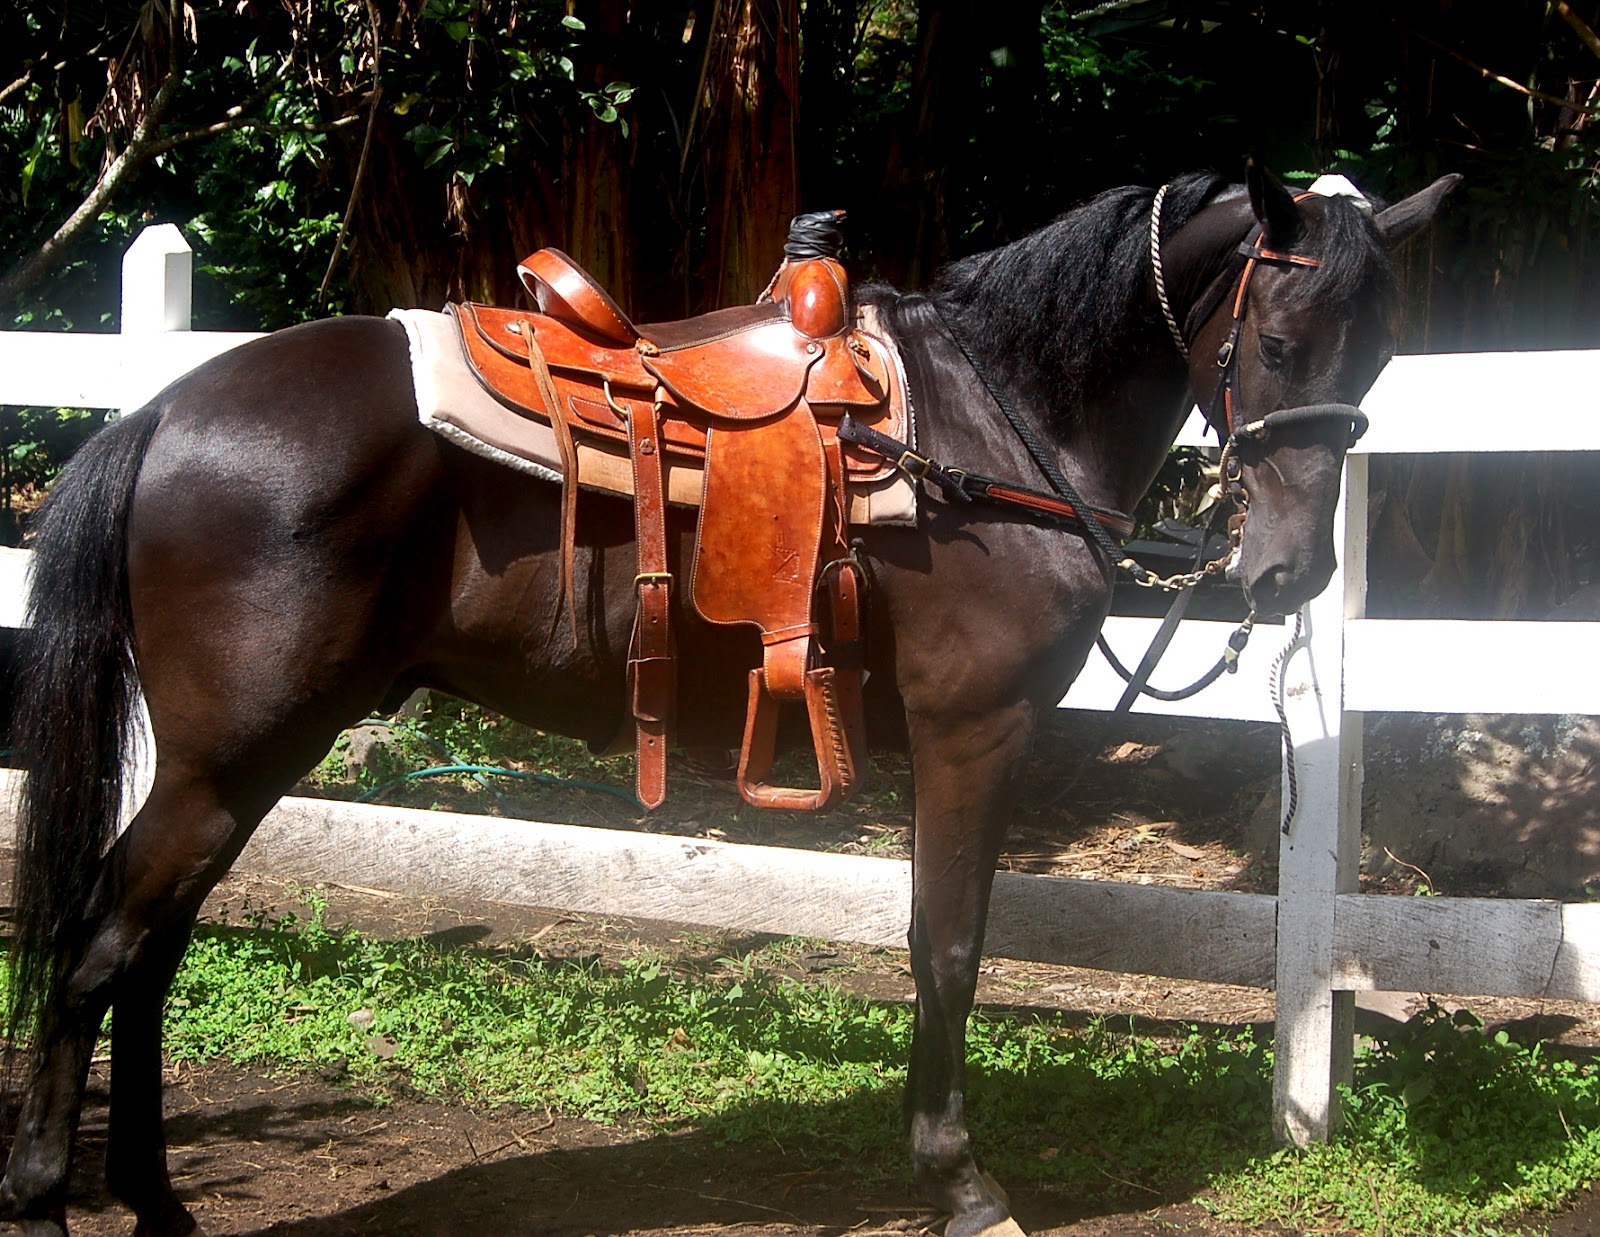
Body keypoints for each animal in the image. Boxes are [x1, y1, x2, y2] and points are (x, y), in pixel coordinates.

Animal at [0, 164, 1456, 1236]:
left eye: (1386, 354)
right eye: (1278, 340)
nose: (1291, 571)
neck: (991, 429)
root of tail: (162, 414)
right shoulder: (972, 732)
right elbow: (949, 945)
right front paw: (960, 1179)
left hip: (242, 761)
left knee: (151, 949)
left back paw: (156, 1200)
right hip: (226, 758)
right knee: (101, 946)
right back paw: (45, 1193)